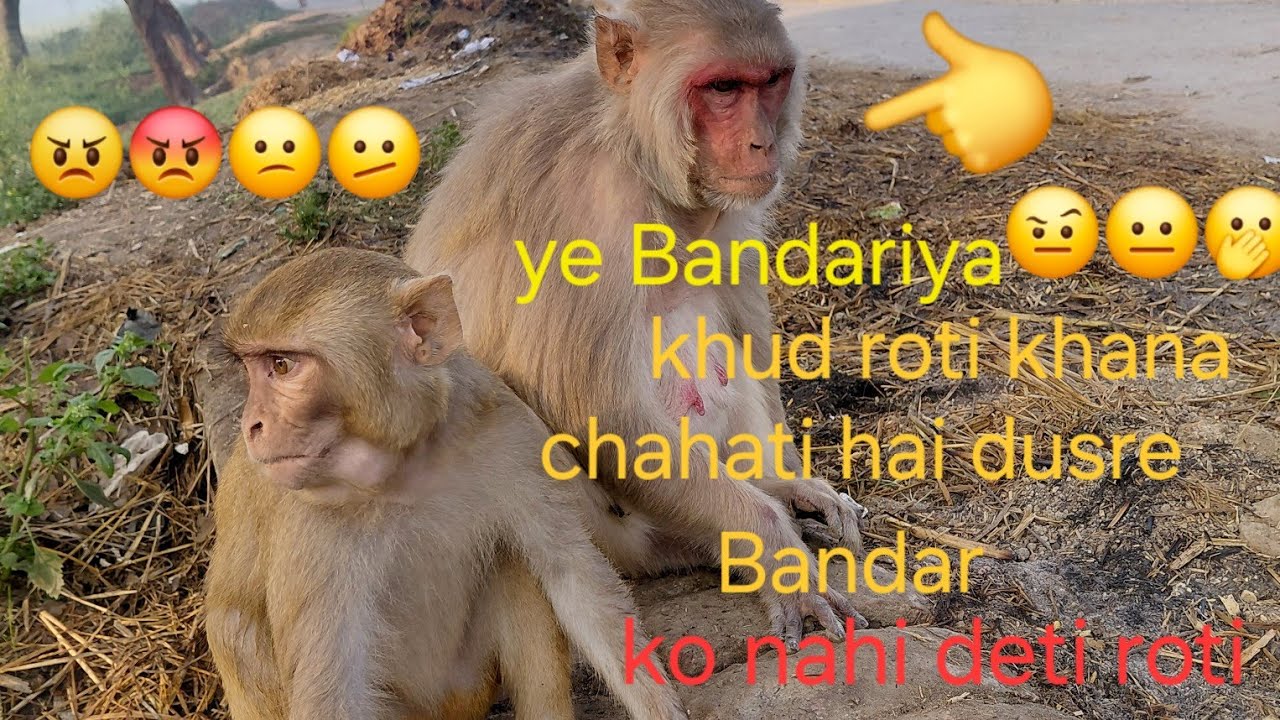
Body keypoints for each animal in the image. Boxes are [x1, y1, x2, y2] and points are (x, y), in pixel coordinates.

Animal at [204, 248, 688, 720]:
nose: (251, 424)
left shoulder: (510, 433)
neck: (407, 467)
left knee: (514, 561)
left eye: (282, 365)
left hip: (470, 684)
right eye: (252, 369)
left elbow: (571, 575)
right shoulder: (311, 533)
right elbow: (334, 692)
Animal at [402, 0, 868, 649]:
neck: (635, 148)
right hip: (607, 528)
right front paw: (773, 547)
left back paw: (770, 489)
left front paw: (791, 484)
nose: (762, 144)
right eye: (722, 88)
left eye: (768, 81)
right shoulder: (588, 212)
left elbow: (740, 314)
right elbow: (599, 411)